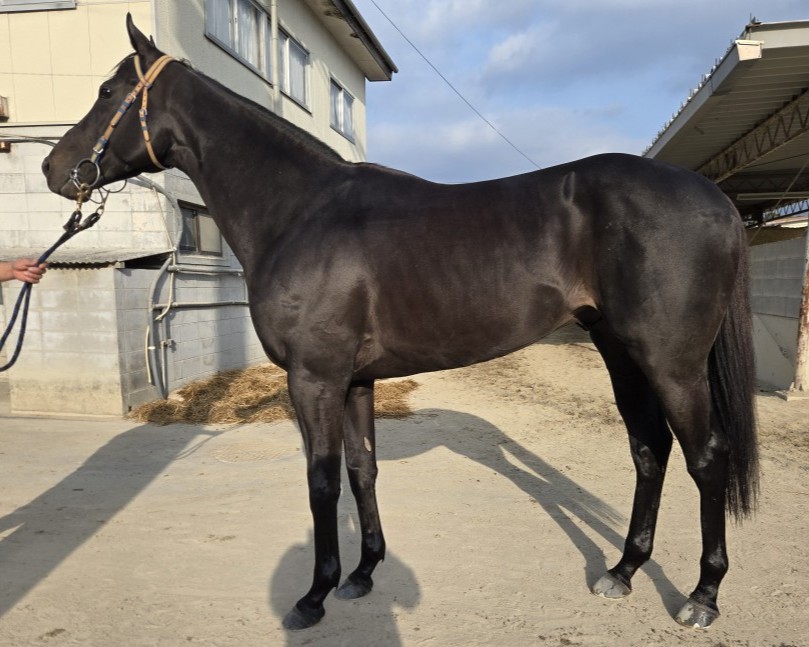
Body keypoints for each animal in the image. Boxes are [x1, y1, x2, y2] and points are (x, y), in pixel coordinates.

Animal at [41, 15, 758, 632]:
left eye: (107, 92)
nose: (53, 168)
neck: (300, 211)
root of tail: (715, 199)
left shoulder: (315, 379)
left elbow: (322, 481)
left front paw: (314, 594)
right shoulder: (354, 380)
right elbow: (363, 469)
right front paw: (362, 573)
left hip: (671, 362)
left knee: (704, 456)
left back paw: (702, 596)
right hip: (620, 351)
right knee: (649, 450)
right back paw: (623, 569)